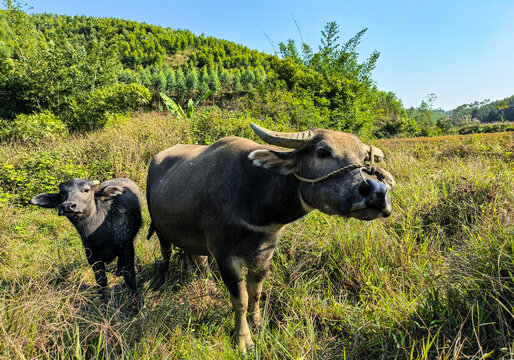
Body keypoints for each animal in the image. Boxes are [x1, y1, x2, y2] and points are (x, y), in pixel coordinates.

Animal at [146, 122, 394, 350]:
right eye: (322, 152)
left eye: (364, 158)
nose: (376, 191)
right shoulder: (225, 257)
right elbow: (241, 299)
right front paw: (243, 339)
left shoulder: (265, 256)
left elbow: (255, 293)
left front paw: (257, 324)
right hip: (159, 230)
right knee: (166, 252)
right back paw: (164, 277)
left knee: (199, 260)